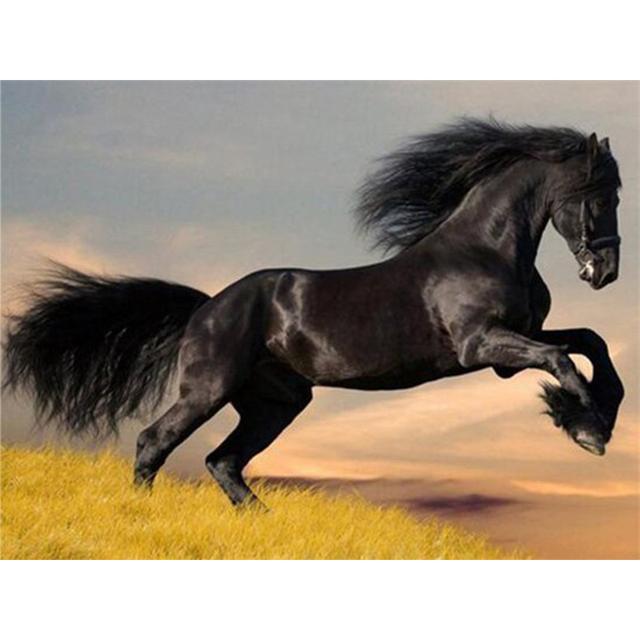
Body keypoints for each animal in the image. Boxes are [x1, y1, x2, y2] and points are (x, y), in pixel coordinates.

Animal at [3, 118, 624, 508]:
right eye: (600, 194)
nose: (606, 272)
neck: (485, 249)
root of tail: (207, 307)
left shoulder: (513, 344)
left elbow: (590, 342)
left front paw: (595, 415)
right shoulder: (483, 346)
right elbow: (561, 360)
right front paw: (586, 428)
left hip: (276, 402)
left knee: (223, 461)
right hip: (209, 389)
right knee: (155, 441)